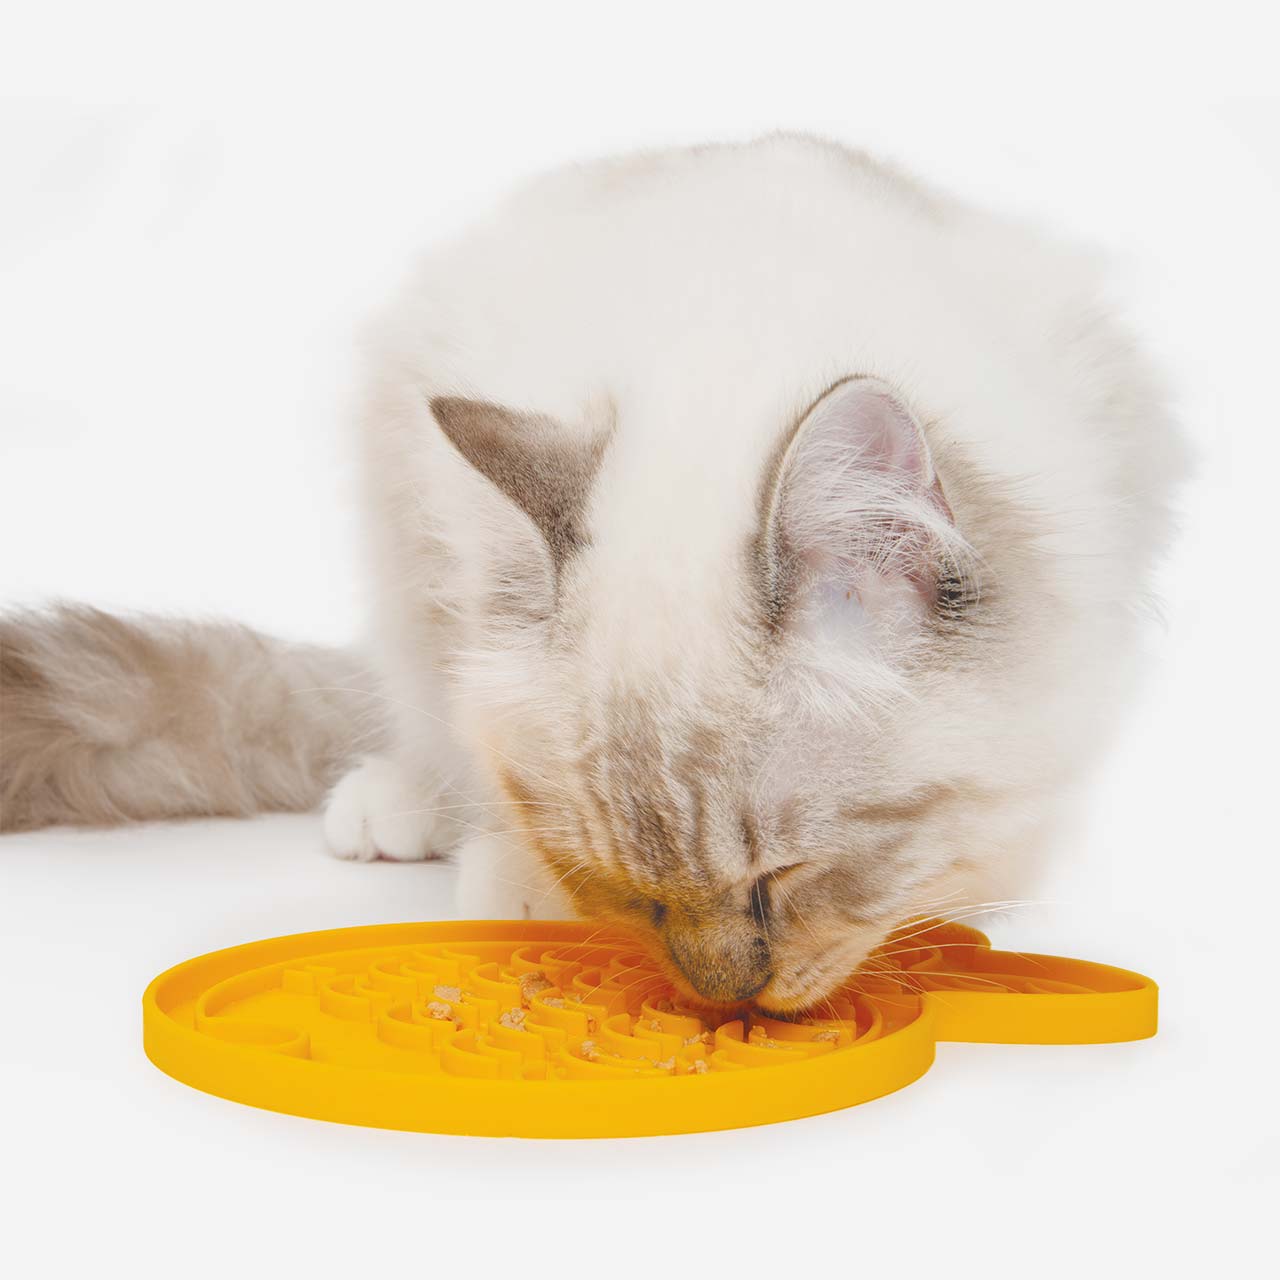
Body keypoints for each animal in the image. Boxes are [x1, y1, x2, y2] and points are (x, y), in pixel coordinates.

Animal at [0, 132, 1177, 1008]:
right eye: (639, 892)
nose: (725, 1001)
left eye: (779, 881)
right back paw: (396, 806)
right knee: (415, 714)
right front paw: (521, 886)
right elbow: (494, 780)